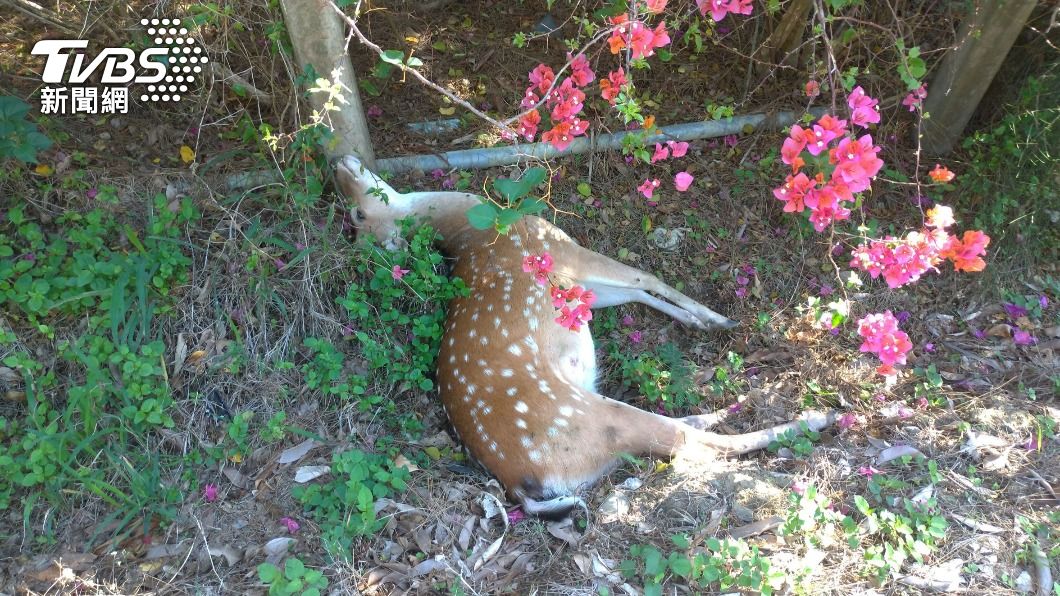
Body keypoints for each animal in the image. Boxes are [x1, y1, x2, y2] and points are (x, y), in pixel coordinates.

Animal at [334, 155, 835, 519]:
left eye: (355, 213)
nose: (338, 163)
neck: (474, 228)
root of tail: (519, 483)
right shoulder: (561, 251)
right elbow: (646, 276)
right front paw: (717, 317)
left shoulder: (575, 281)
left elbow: (640, 292)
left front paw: (702, 322)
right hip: (592, 418)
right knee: (697, 445)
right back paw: (815, 419)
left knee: (684, 431)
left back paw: (735, 405)